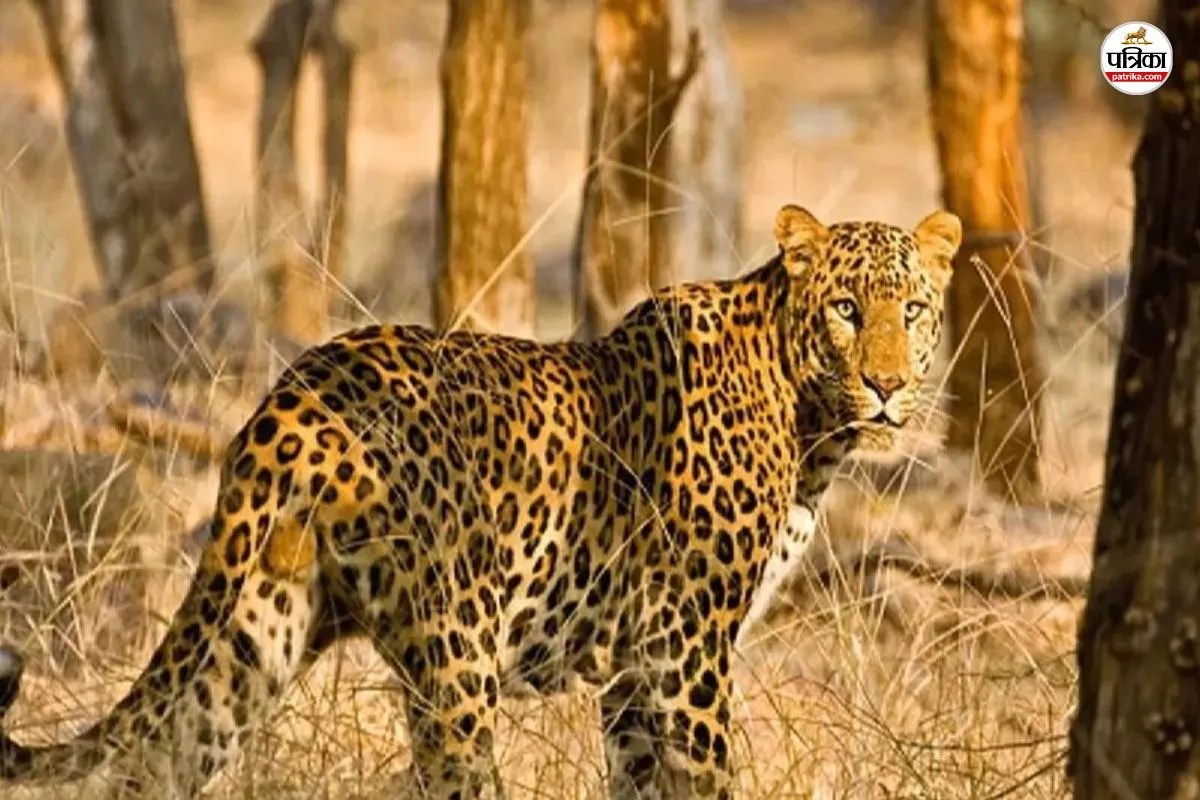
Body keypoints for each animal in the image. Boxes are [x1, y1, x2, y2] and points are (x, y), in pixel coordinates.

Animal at [0, 204, 961, 799]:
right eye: (846, 309)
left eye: (913, 310)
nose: (887, 386)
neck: (813, 430)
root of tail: (295, 394)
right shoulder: (684, 644)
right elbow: (709, 778)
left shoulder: (632, 672)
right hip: (456, 646)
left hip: (260, 627)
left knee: (158, 762)